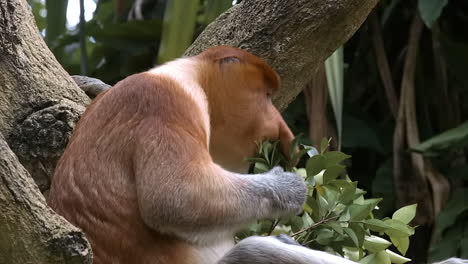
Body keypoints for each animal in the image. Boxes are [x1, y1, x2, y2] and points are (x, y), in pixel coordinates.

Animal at [48, 46, 358, 262]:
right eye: (267, 96)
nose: (279, 126)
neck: (189, 75)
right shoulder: (166, 104)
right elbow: (174, 198)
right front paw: (289, 187)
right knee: (256, 251)